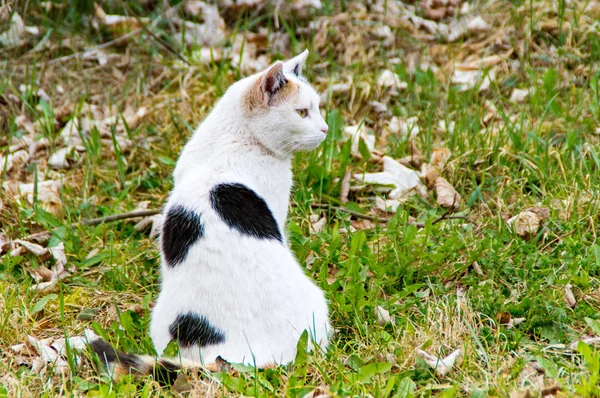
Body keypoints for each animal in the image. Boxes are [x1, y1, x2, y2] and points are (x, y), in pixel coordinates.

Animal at [91, 51, 330, 380]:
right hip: (319, 304)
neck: (234, 138)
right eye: (302, 112)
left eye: (317, 108)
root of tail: (247, 358)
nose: (326, 129)